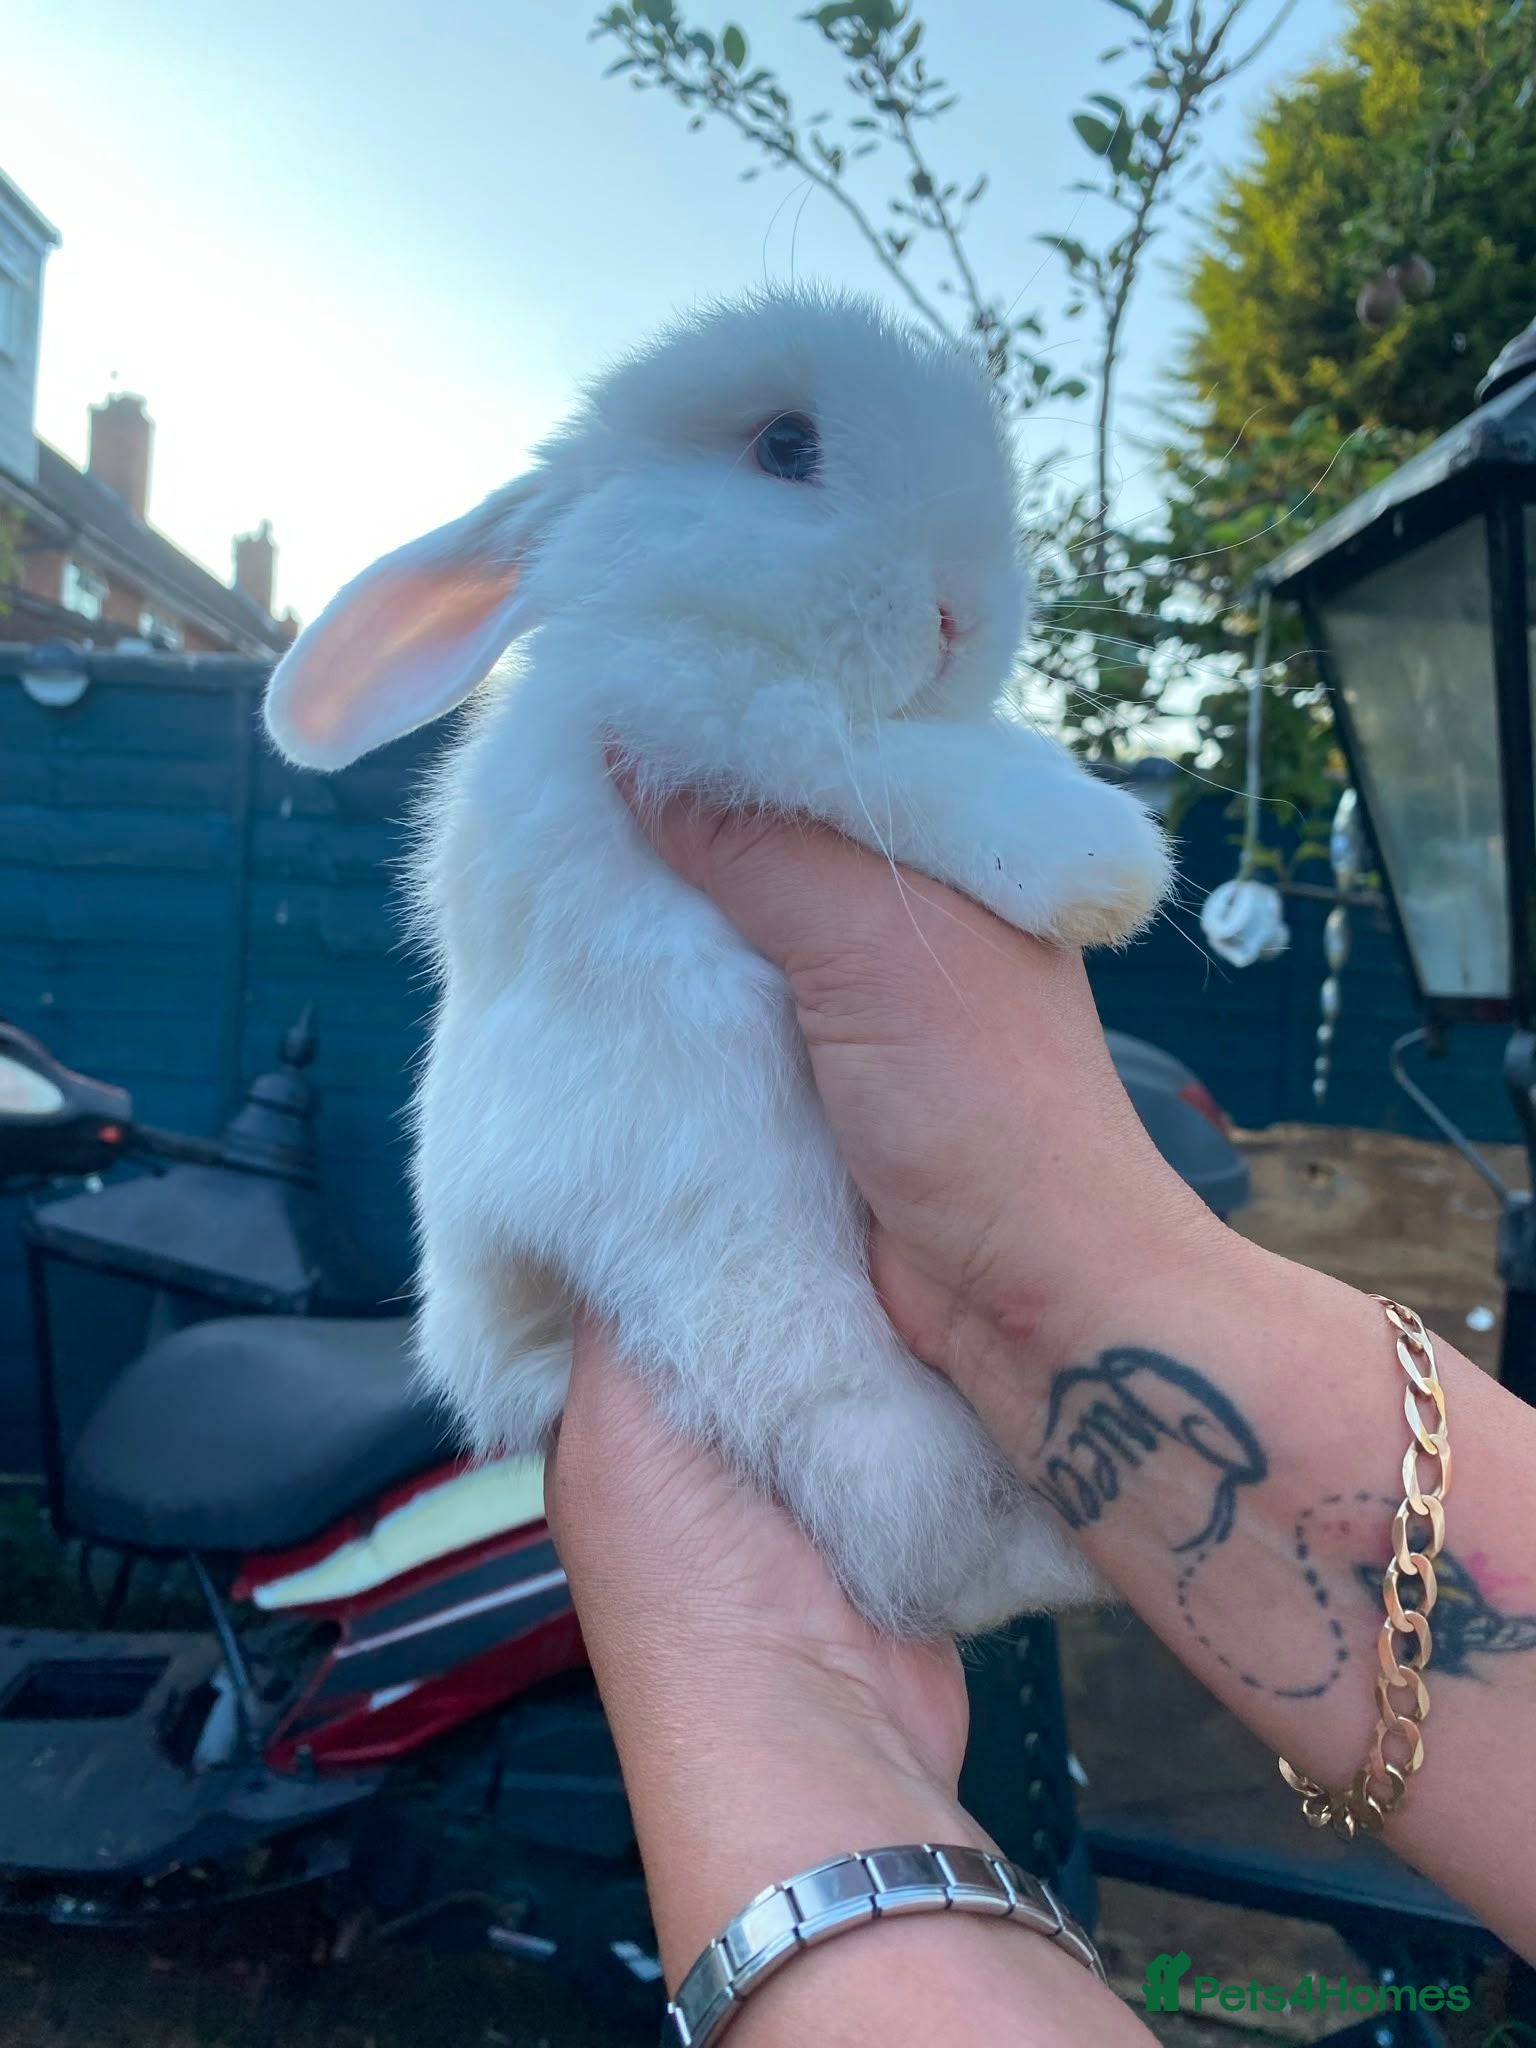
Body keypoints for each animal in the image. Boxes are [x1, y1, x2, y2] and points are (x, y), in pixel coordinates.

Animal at [263, 286, 1171, 1637]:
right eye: (786, 445)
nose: (963, 614)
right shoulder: (718, 716)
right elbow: (893, 767)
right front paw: (1107, 862)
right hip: (791, 1333)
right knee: (928, 1538)